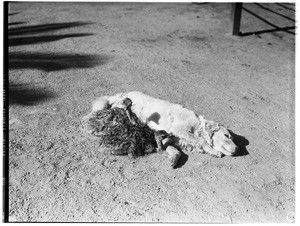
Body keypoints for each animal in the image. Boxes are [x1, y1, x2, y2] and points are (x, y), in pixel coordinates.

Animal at [92, 90, 238, 157]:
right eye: (227, 136)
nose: (237, 149)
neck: (198, 127)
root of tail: (123, 93)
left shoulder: (170, 138)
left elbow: (173, 150)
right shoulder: (180, 129)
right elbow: (201, 141)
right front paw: (213, 150)